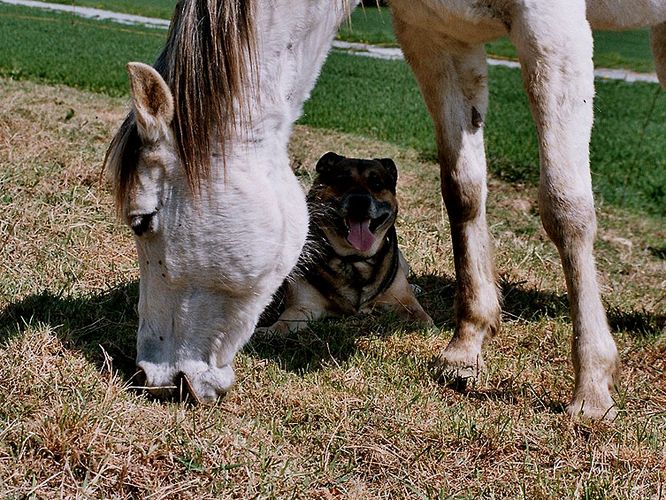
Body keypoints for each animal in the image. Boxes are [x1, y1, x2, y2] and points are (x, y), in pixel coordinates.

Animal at [264, 151, 430, 332]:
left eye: (376, 183)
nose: (360, 201)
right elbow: (281, 325)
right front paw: (265, 331)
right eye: (342, 181)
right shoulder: (303, 307)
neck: (354, 259)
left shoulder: (405, 302)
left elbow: (423, 318)